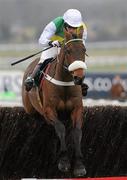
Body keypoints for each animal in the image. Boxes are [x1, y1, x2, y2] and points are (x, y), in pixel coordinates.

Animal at [21, 27, 87, 177]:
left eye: (84, 50)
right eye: (68, 50)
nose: (79, 78)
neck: (64, 82)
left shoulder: (77, 109)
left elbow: (77, 132)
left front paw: (79, 165)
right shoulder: (49, 109)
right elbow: (60, 128)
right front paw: (63, 161)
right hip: (31, 110)